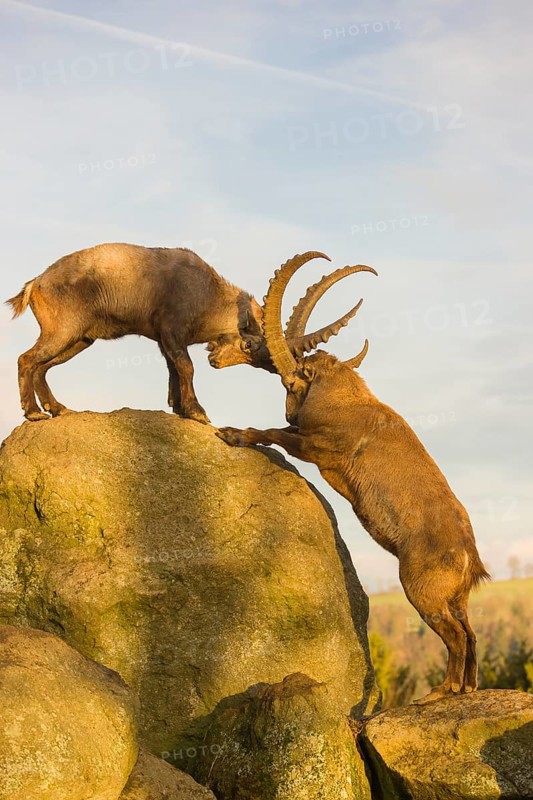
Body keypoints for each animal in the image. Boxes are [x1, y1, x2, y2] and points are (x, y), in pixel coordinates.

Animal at [6, 244, 370, 423]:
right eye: (251, 344)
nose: (217, 361)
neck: (208, 295)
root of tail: (35, 284)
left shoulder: (164, 339)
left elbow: (173, 368)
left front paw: (179, 407)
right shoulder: (171, 328)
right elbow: (186, 366)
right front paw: (197, 412)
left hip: (79, 338)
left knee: (41, 366)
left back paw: (57, 409)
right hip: (63, 331)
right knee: (26, 359)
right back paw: (34, 413)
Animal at [217, 251, 490, 704]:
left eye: (292, 381)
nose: (217, 357)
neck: (344, 397)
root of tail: (470, 557)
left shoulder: (319, 448)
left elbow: (274, 431)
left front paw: (232, 434)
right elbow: (281, 428)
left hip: (422, 589)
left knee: (454, 635)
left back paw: (440, 690)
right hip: (457, 597)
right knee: (469, 632)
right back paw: (466, 688)